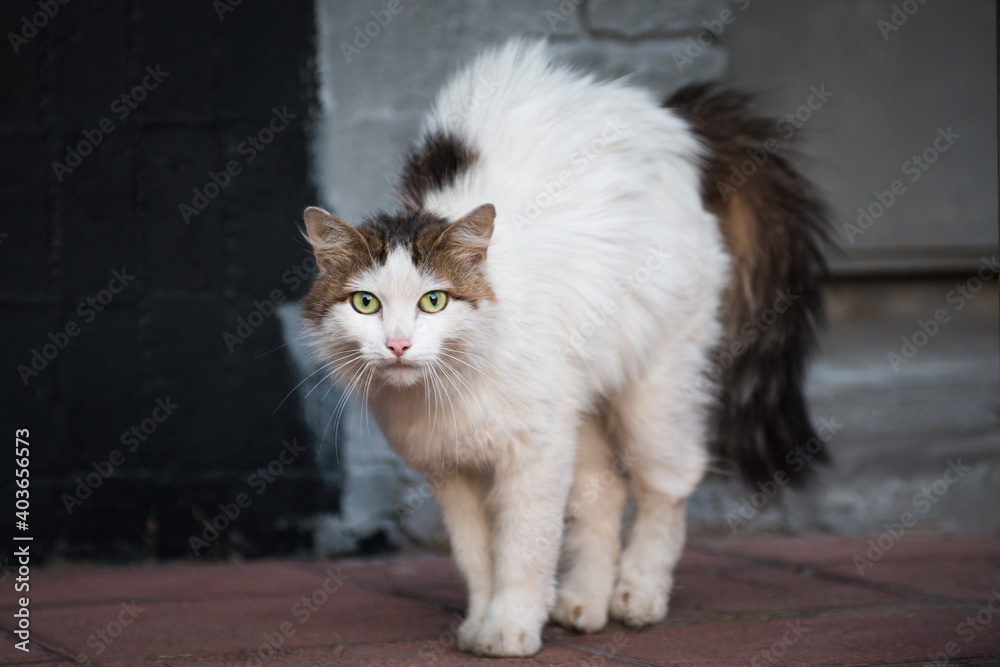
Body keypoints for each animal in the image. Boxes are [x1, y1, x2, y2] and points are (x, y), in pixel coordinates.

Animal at [298, 39, 828, 660]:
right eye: (365, 303)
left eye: (434, 301)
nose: (399, 344)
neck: (447, 389)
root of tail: (669, 121)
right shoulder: (453, 472)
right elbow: (477, 557)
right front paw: (481, 623)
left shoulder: (536, 453)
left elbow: (524, 549)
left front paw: (510, 630)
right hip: (582, 404)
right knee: (606, 494)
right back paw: (583, 603)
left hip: (655, 387)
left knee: (668, 482)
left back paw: (639, 594)